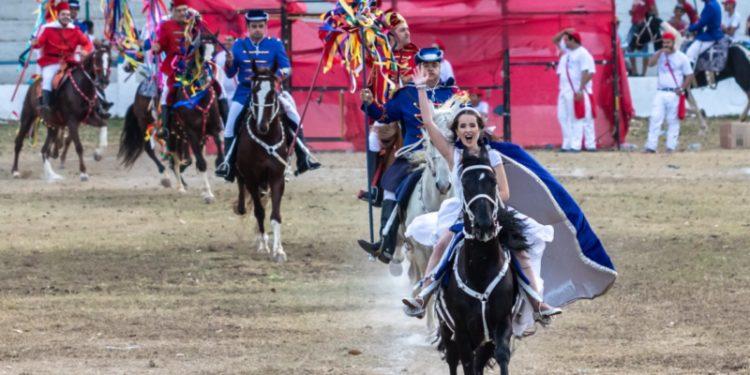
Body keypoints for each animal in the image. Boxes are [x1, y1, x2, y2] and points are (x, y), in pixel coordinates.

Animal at [13, 44, 113, 182]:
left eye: (110, 60)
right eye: (96, 59)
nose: (103, 81)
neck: (82, 87)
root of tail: (35, 83)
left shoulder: (89, 117)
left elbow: (104, 124)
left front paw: (98, 153)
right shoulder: (72, 121)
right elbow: (79, 147)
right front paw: (83, 173)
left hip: (52, 125)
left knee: (44, 150)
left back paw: (52, 175)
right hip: (28, 117)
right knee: (19, 142)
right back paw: (15, 171)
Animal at [236, 63, 290, 262]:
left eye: (272, 93)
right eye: (253, 92)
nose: (262, 126)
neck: (266, 138)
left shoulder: (277, 177)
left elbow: (275, 214)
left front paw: (279, 250)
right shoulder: (251, 179)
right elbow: (259, 211)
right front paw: (264, 245)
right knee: (250, 204)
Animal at [434, 148, 528, 375]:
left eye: (493, 182)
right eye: (465, 184)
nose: (484, 224)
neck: (481, 269)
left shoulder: (501, 324)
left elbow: (501, 356)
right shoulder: (461, 330)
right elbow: (466, 363)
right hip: (447, 329)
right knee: (452, 359)